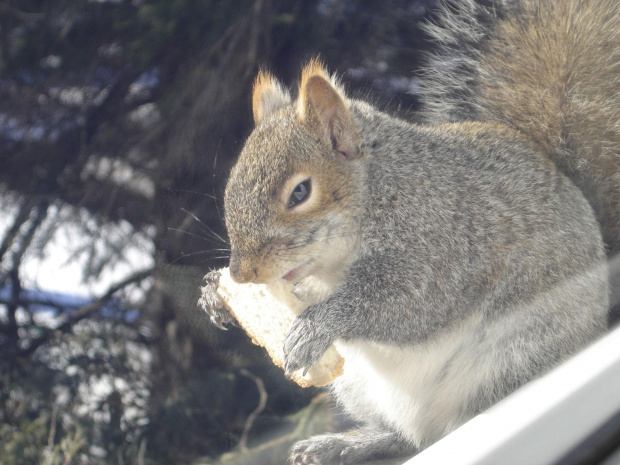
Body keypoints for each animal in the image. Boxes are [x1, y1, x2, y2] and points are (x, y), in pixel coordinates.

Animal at [202, 0, 616, 464]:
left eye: (301, 192)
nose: (243, 273)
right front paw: (214, 294)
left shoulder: (443, 245)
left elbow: (406, 304)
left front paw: (316, 326)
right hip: (358, 386)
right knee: (404, 437)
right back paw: (343, 444)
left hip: (513, 356)